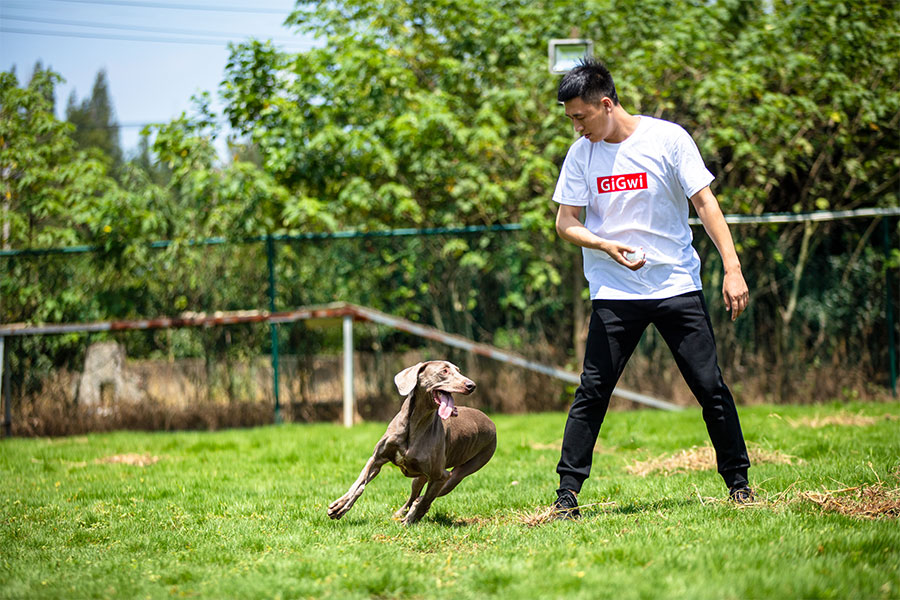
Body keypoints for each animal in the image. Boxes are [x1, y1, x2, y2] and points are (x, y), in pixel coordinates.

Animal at [327, 361, 497, 525]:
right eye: (444, 371)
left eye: (458, 371)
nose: (471, 385)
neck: (413, 425)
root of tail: (491, 423)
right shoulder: (376, 459)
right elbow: (359, 484)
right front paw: (340, 506)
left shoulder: (442, 475)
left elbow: (425, 500)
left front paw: (409, 521)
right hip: (420, 478)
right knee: (415, 495)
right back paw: (400, 513)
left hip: (459, 473)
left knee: (426, 497)